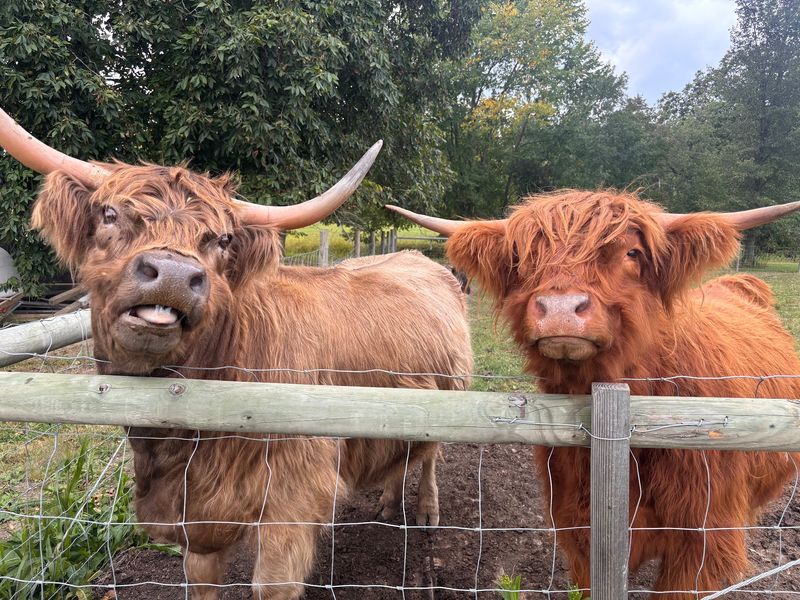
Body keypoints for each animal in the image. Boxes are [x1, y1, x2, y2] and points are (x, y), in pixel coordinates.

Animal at [0, 108, 473, 599]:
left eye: (222, 240)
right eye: (110, 214)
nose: (173, 273)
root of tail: (419, 257)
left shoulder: (292, 507)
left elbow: (270, 586)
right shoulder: (196, 525)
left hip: (449, 397)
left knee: (431, 456)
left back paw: (426, 511)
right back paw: (387, 501)